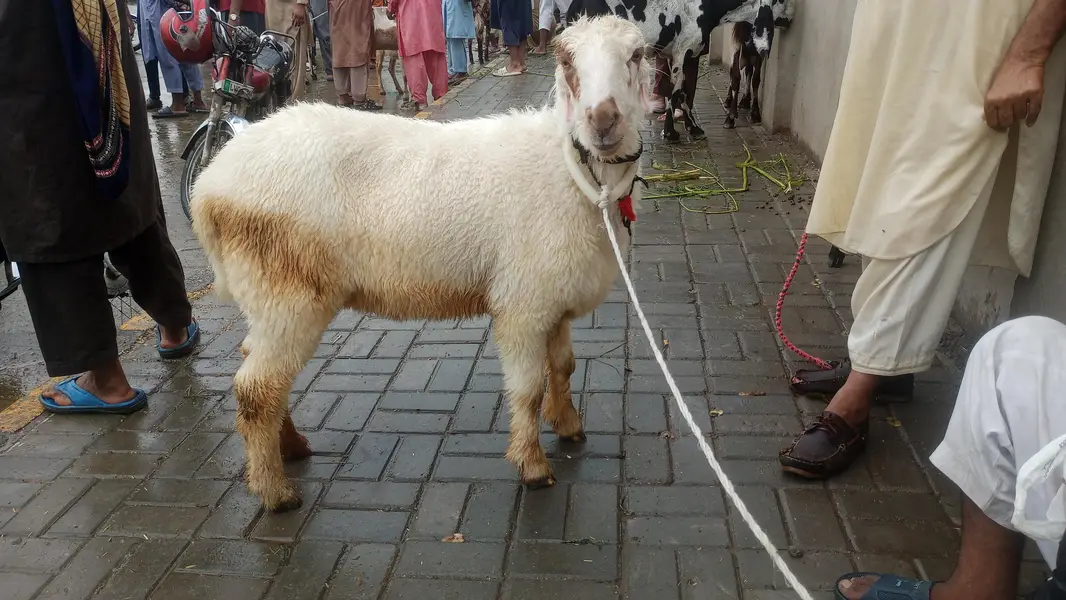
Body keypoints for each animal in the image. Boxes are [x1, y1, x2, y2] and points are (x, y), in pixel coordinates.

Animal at [190, 14, 653, 511]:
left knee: (263, 373)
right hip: (286, 291)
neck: (571, 169)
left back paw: (291, 446)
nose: (602, 120)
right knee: (257, 390)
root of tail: (209, 185)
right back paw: (275, 491)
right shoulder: (523, 304)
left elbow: (563, 367)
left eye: (636, 55)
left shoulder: (554, 298)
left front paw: (568, 426)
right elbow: (528, 390)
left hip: (267, 296)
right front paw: (533, 466)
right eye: (566, 61)